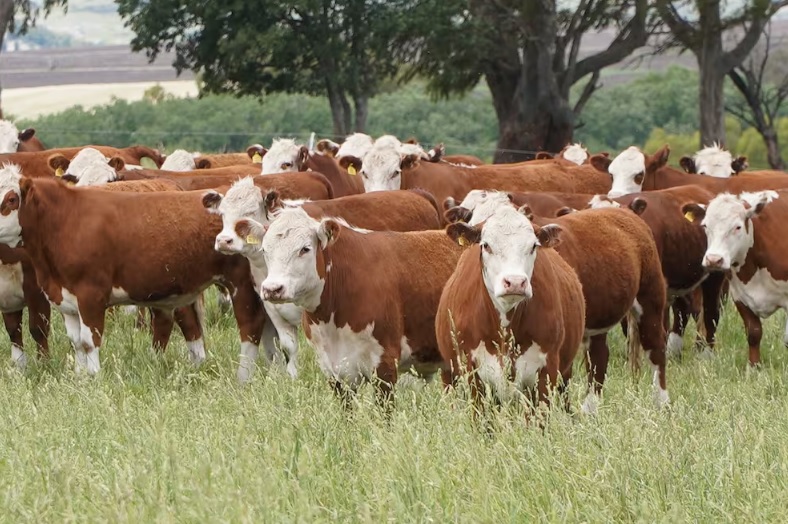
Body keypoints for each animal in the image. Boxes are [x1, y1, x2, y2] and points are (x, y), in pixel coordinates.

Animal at [0, 173, 266, 380]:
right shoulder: (65, 299)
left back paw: (243, 375)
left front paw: (94, 376)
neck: (65, 221)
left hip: (241, 283)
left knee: (249, 325)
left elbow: (89, 340)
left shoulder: (91, 295)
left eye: (11, 199)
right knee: (190, 325)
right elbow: (75, 342)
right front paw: (79, 376)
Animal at [436, 204, 586, 415]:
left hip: (564, 375)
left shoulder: (546, 372)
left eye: (533, 246)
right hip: (449, 375)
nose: (515, 282)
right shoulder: (472, 372)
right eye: (486, 245)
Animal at [683, 190, 788, 366]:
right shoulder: (740, 296)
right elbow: (753, 333)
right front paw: (753, 367)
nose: (713, 259)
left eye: (737, 227)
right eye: (705, 226)